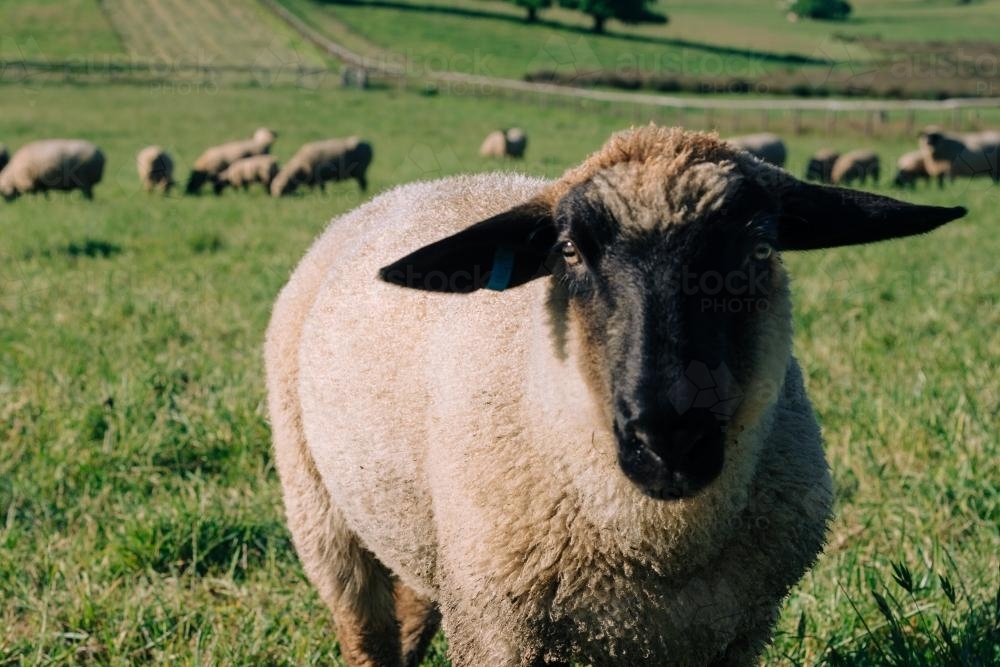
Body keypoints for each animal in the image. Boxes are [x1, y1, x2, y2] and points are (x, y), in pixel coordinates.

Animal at [268, 125, 968, 667]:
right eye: (569, 252)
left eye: (761, 247)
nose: (669, 439)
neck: (659, 549)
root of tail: (407, 190)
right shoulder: (499, 630)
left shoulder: (733, 634)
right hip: (322, 518)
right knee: (368, 633)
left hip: (423, 538)